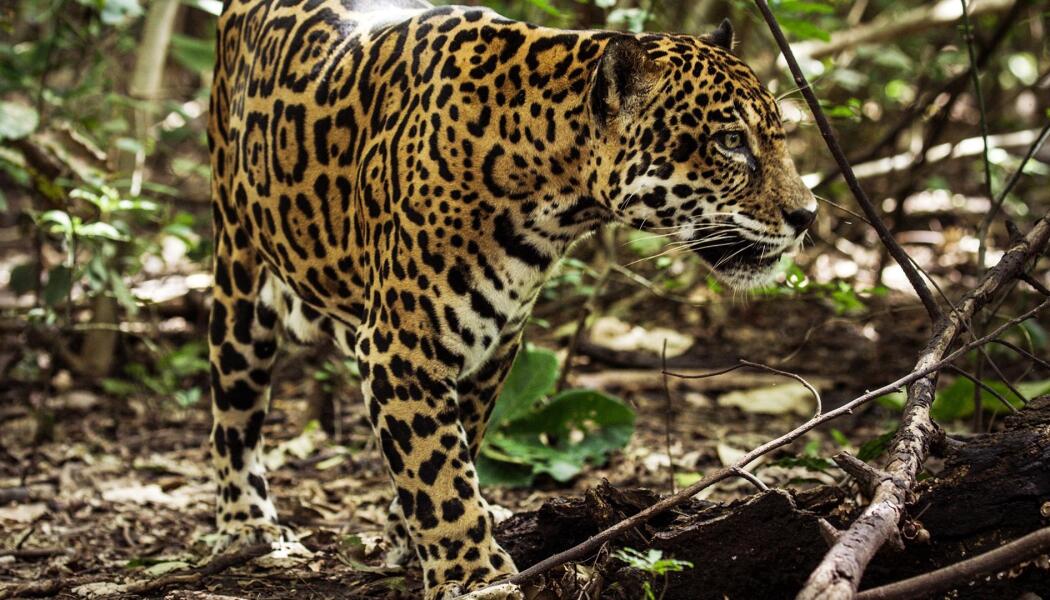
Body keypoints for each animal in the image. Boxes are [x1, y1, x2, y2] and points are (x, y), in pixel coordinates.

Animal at [205, 0, 817, 597]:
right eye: (730, 142)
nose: (807, 215)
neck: (553, 189)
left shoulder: (493, 344)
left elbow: (456, 444)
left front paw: (409, 538)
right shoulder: (401, 346)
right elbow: (436, 467)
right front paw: (472, 574)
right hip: (238, 277)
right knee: (233, 416)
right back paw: (245, 525)